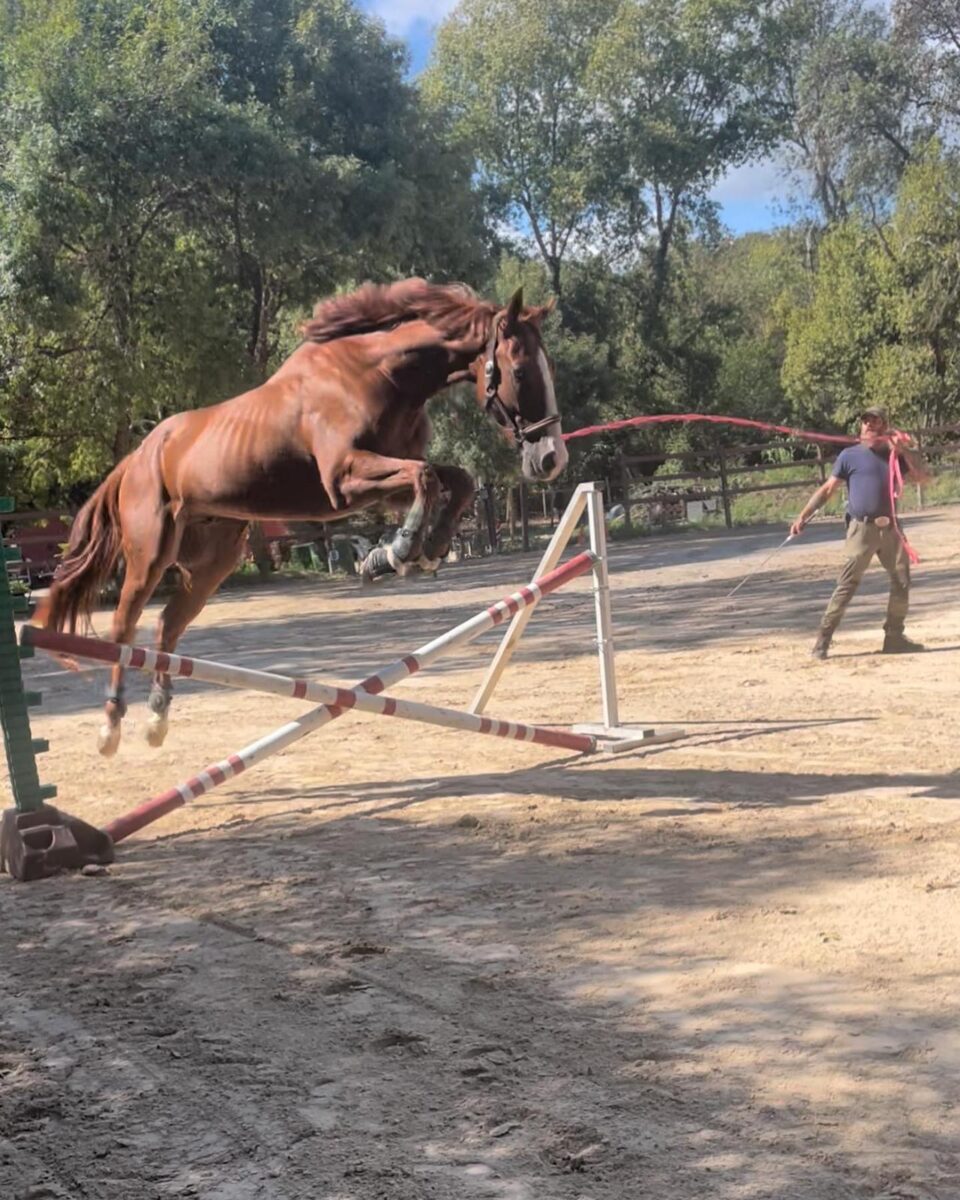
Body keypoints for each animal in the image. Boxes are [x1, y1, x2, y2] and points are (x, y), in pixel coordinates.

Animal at [33, 276, 566, 753]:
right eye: (520, 371)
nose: (550, 460)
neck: (382, 375)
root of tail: (138, 456)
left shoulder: (385, 482)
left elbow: (453, 480)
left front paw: (424, 551)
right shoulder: (344, 481)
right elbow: (426, 479)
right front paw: (394, 554)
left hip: (213, 560)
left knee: (167, 625)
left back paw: (158, 717)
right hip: (150, 555)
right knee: (124, 628)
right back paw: (111, 724)